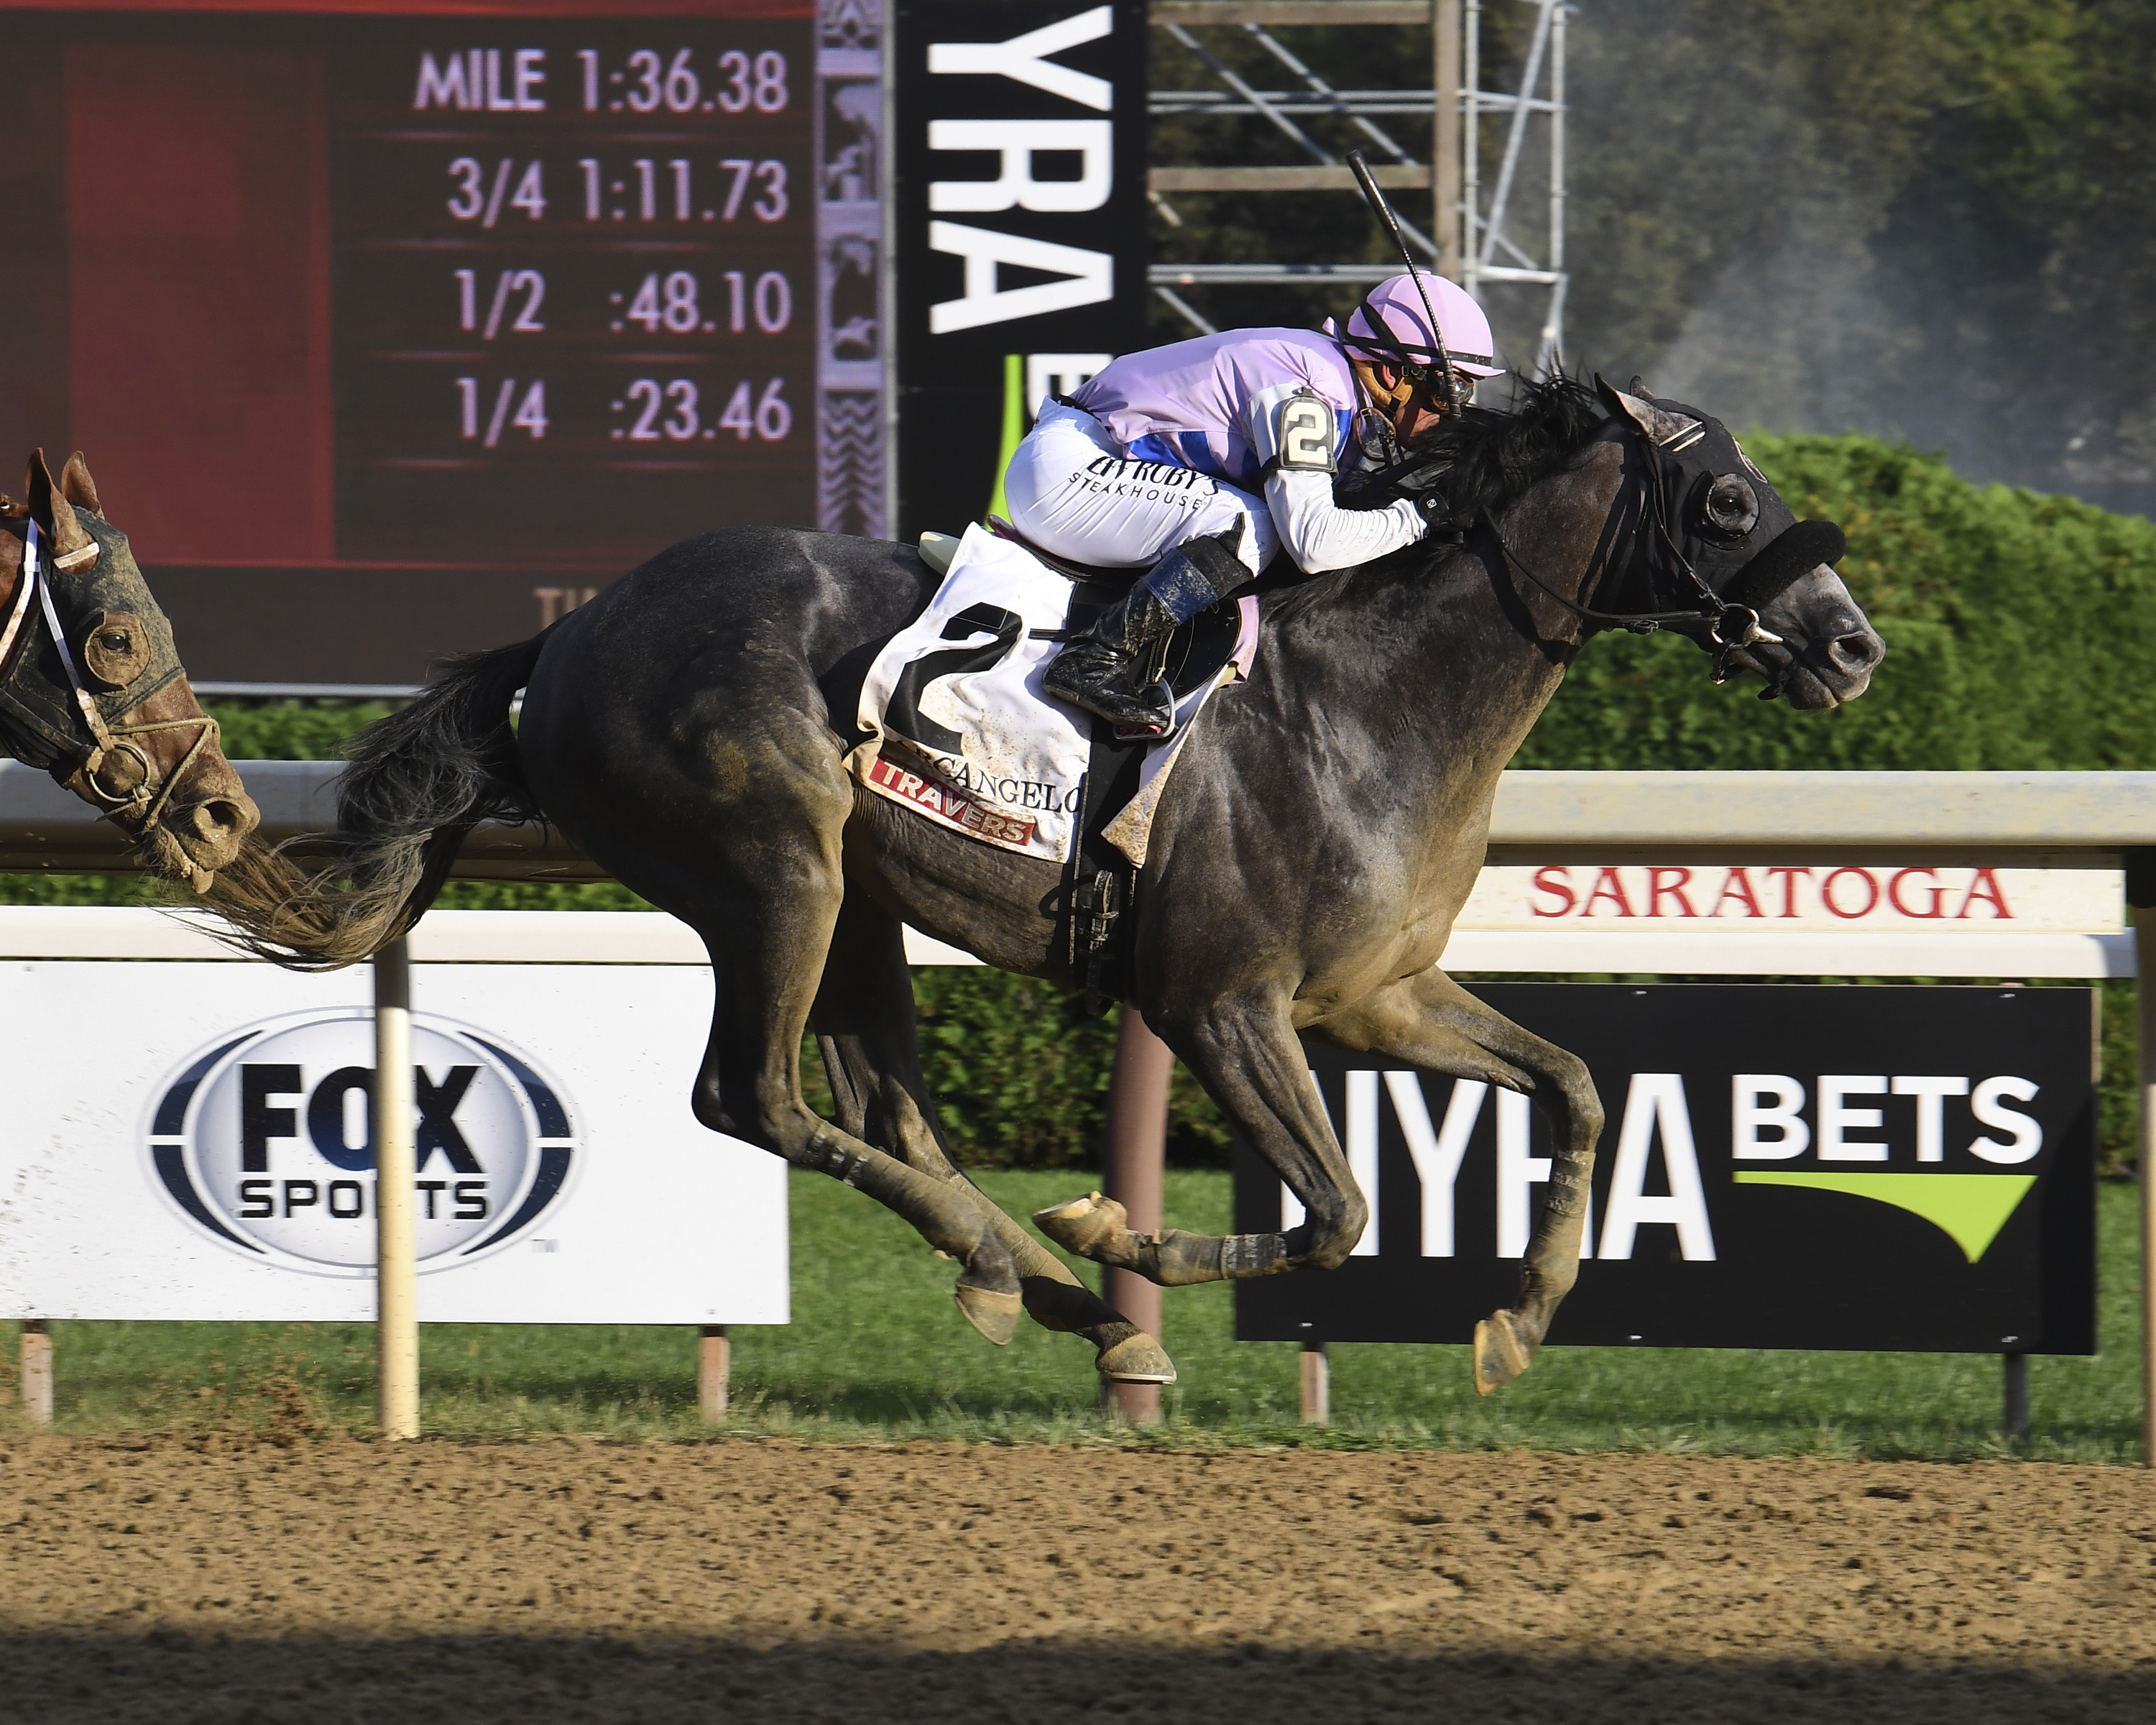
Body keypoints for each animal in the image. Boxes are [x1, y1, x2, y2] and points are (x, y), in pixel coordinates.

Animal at [208, 377, 1883, 1394]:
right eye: (1728, 504)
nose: (1854, 642)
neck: (1367, 703)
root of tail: (563, 637)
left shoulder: (1374, 994)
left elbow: (1581, 1086)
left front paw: (1519, 1318)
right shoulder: (1221, 1002)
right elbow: (1338, 1208)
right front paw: (1124, 1237)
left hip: (856, 897)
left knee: (880, 1113)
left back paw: (1050, 1300)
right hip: (773, 867)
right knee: (755, 1097)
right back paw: (1053, 1281)